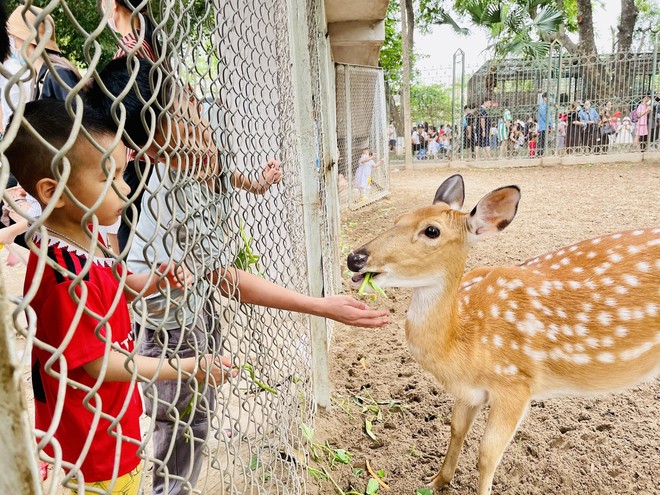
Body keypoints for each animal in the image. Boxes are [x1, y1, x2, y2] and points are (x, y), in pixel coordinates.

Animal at [348, 175, 656, 495]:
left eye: (432, 230)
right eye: (396, 219)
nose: (354, 258)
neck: (463, 342)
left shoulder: (516, 384)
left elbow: (487, 454)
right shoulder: (470, 391)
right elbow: (456, 428)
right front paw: (436, 481)